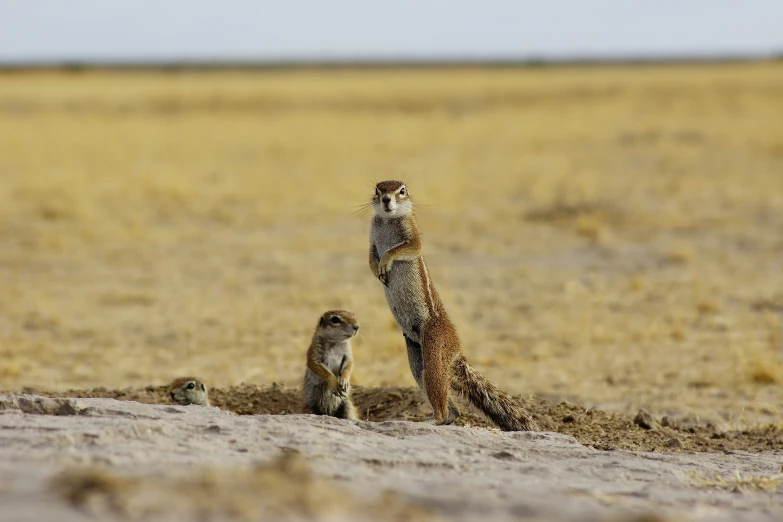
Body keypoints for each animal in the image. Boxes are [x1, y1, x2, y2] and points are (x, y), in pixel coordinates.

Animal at [368, 181, 540, 428]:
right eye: (377, 190)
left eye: (402, 190)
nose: (386, 200)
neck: (387, 221)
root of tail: (457, 350)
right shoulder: (371, 238)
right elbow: (371, 255)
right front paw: (376, 268)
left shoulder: (413, 235)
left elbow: (406, 248)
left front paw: (386, 261)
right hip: (415, 355)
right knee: (444, 399)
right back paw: (442, 418)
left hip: (435, 348)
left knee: (437, 384)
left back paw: (434, 420)